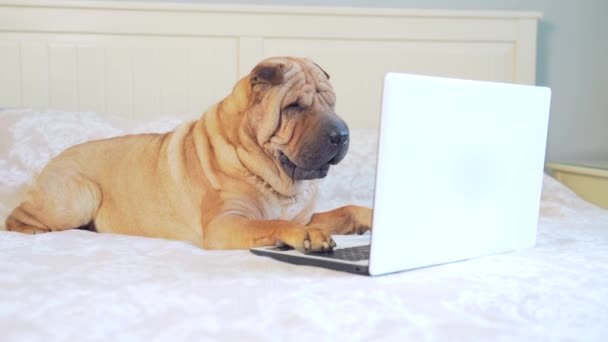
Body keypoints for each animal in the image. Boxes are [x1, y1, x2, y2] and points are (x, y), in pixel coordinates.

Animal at [7, 57, 372, 252]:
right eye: (294, 107)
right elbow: (273, 222)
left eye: (331, 102)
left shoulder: (304, 214)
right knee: (15, 216)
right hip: (81, 196)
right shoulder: (226, 224)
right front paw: (304, 237)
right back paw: (36, 232)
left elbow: (346, 209)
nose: (342, 135)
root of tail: (47, 168)